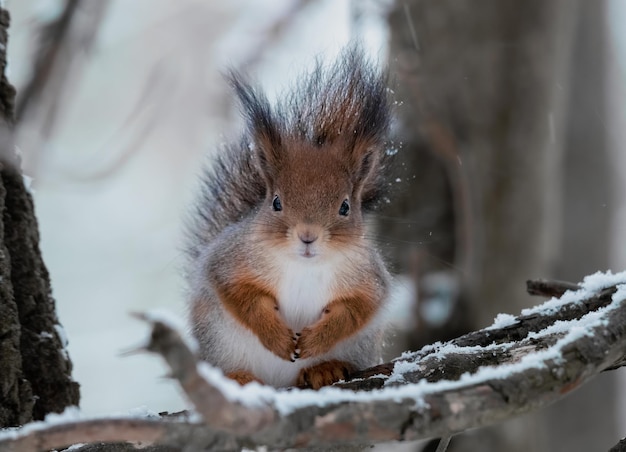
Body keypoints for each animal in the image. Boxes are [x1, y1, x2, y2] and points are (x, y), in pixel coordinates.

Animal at [184, 47, 390, 390]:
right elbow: (242, 297)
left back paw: (325, 368)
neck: (303, 266)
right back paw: (239, 378)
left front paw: (317, 339)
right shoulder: (229, 261)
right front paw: (276, 336)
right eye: (276, 202)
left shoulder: (368, 278)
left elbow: (356, 309)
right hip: (217, 337)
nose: (307, 236)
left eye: (345, 207)